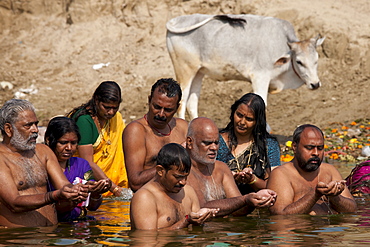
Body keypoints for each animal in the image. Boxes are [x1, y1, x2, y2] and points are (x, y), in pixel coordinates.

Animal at [165, 14, 324, 120]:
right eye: (299, 62)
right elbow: (262, 104)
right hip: (185, 71)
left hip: (198, 73)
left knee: (192, 104)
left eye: (316, 60)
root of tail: (177, 20)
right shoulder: (260, 77)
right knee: (182, 103)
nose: (315, 84)